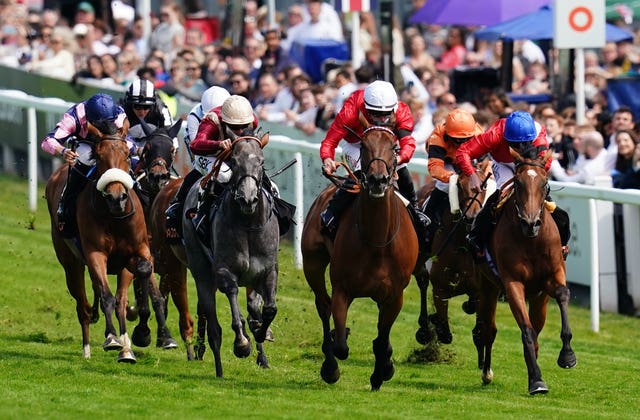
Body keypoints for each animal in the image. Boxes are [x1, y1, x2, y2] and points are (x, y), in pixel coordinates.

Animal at [44, 120, 175, 362]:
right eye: (99, 156)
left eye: (127, 153)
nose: (117, 197)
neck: (114, 215)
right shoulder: (95, 254)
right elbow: (107, 296)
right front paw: (113, 338)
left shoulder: (137, 253)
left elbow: (138, 288)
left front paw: (144, 338)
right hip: (70, 264)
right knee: (82, 305)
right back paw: (87, 348)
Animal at [181, 131, 278, 378]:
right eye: (233, 162)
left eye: (261, 161)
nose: (247, 199)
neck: (248, 224)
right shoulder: (225, 270)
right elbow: (233, 297)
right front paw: (242, 343)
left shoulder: (267, 270)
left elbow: (268, 309)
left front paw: (261, 332)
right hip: (201, 271)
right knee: (214, 327)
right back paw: (219, 369)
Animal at [302, 115, 420, 390]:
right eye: (364, 146)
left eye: (394, 147)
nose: (377, 180)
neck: (378, 241)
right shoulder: (342, 290)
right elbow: (341, 346)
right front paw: (333, 364)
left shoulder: (394, 295)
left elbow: (381, 339)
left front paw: (382, 371)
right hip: (312, 263)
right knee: (323, 306)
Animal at [412, 159, 498, 346]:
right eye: (459, 184)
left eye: (484, 185)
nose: (471, 217)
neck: (461, 243)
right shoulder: (440, 288)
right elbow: (445, 333)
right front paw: (433, 323)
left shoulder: (478, 289)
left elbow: (473, 303)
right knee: (422, 280)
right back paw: (424, 327)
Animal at [472, 149, 576, 396]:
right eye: (518, 183)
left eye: (545, 183)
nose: (531, 223)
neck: (531, 241)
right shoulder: (512, 284)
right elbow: (525, 330)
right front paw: (536, 380)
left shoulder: (553, 275)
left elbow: (563, 295)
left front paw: (567, 355)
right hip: (487, 287)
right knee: (489, 329)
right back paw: (487, 372)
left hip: (539, 299)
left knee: (536, 329)